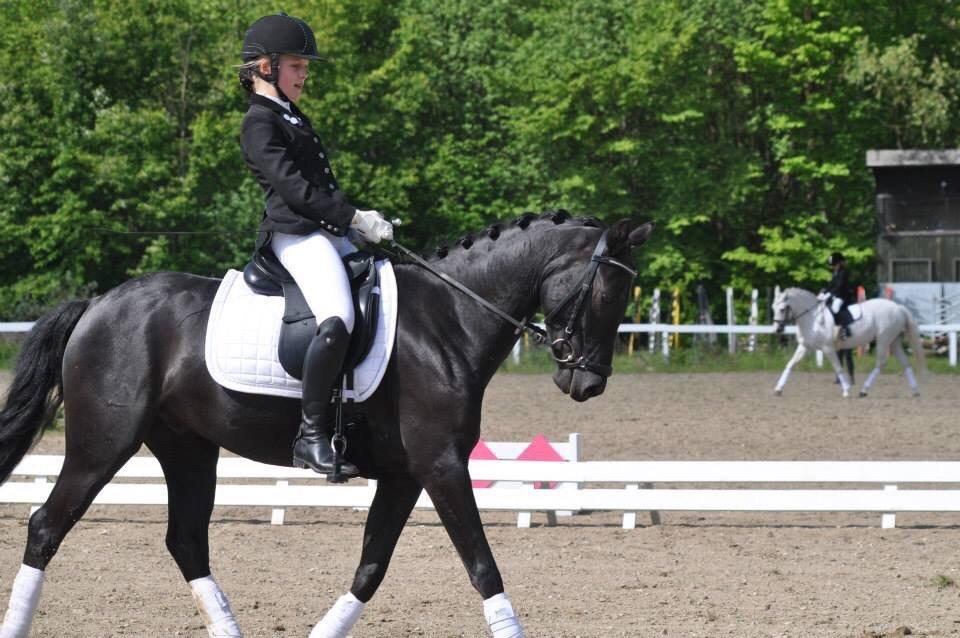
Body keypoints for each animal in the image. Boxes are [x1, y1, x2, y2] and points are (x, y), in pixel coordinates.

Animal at [0, 212, 653, 638]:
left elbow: (371, 567)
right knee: (46, 527)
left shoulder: (406, 474)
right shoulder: (442, 464)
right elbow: (482, 565)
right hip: (103, 443)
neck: (449, 319)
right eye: (608, 293)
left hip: (189, 449)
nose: (587, 383)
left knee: (186, 541)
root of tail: (98, 303)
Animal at [771, 287, 925, 398]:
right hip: (894, 341)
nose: (778, 329)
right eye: (773, 308)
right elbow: (790, 364)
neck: (812, 318)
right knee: (905, 363)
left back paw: (864, 390)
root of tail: (898, 307)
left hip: (883, 339)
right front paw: (778, 389)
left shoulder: (828, 348)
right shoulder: (805, 346)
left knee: (881, 363)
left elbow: (838, 367)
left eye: (782, 309)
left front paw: (846, 390)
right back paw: (915, 391)